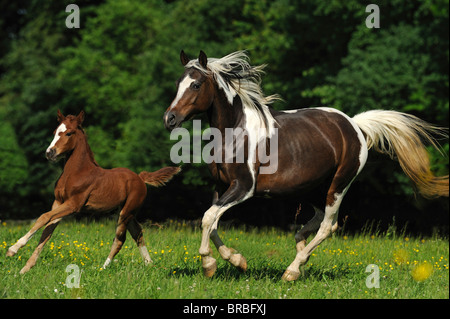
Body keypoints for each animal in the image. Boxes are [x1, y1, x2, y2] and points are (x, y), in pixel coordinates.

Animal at [6, 110, 179, 276]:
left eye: (69, 133)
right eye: (55, 131)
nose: (50, 153)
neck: (77, 172)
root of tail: (140, 177)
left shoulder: (73, 205)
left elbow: (44, 217)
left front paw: (13, 249)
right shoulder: (58, 202)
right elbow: (47, 231)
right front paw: (25, 269)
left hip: (126, 212)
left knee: (120, 239)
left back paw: (102, 268)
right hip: (126, 212)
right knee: (138, 233)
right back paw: (149, 264)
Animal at [163, 50, 448, 282]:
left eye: (196, 84)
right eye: (177, 84)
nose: (169, 119)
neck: (235, 132)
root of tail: (354, 124)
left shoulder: (244, 187)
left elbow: (208, 217)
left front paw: (209, 264)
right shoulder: (221, 185)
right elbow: (211, 222)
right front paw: (237, 261)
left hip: (338, 185)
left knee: (328, 226)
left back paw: (292, 270)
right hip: (311, 188)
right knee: (319, 220)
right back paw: (301, 257)